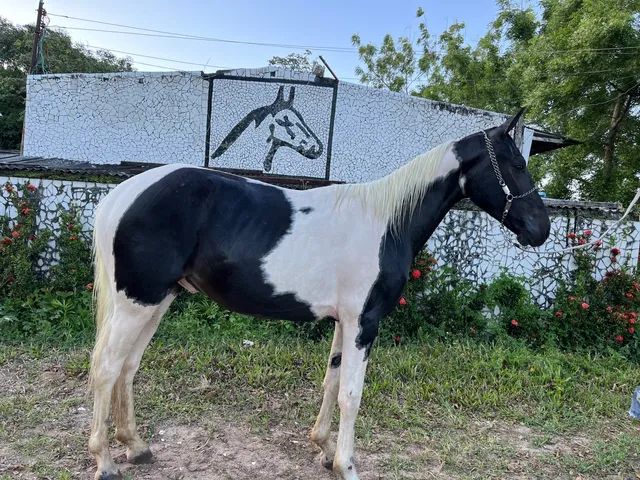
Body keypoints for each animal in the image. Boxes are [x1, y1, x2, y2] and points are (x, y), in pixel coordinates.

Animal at [89, 109, 552, 480]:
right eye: (515, 163)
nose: (540, 229)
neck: (388, 221)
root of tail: (121, 194)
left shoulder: (344, 322)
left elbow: (332, 381)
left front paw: (325, 450)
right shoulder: (364, 322)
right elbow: (352, 394)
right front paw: (347, 465)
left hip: (156, 300)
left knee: (128, 367)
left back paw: (136, 447)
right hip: (137, 302)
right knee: (108, 368)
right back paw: (105, 462)